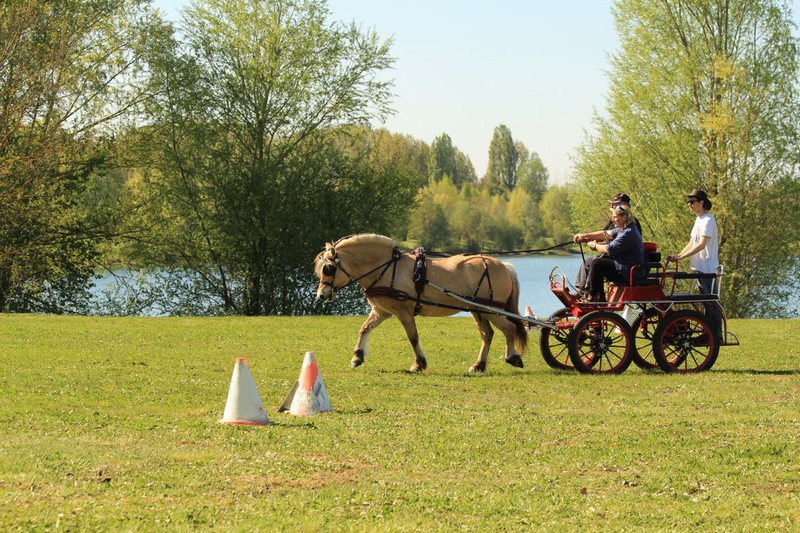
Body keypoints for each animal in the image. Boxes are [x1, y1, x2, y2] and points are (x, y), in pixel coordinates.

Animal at [314, 234, 528, 373]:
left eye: (328, 269)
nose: (321, 295)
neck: (387, 268)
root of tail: (503, 265)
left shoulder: (404, 312)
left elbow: (413, 337)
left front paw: (419, 364)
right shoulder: (381, 311)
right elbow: (364, 329)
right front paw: (357, 357)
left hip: (492, 310)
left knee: (509, 329)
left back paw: (512, 357)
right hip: (477, 310)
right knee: (487, 334)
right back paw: (479, 365)